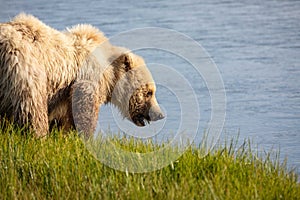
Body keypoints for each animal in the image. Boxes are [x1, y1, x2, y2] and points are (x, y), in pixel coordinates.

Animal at [0, 12, 164, 138]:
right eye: (149, 92)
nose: (160, 114)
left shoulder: (63, 97)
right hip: (25, 69)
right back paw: (37, 135)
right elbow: (85, 108)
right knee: (32, 108)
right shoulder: (88, 76)